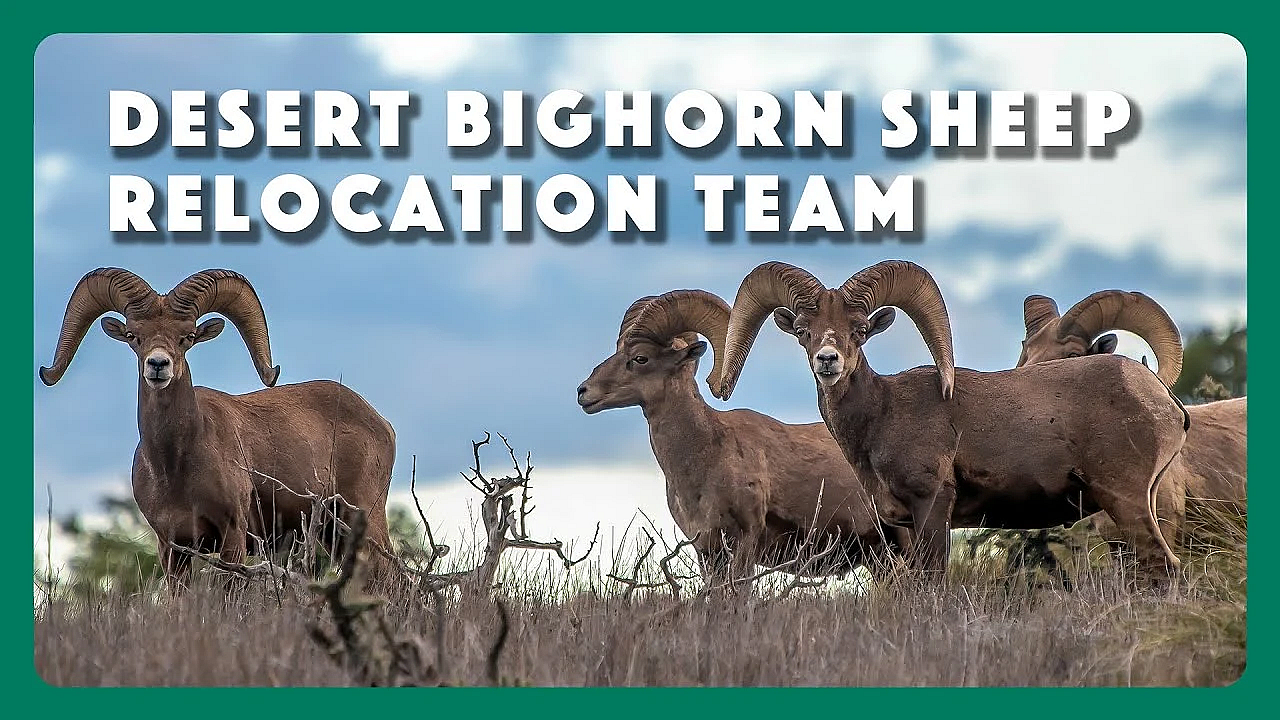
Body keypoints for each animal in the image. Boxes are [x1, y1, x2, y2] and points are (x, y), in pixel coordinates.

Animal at [39, 267, 397, 587]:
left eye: (187, 337)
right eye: (133, 336)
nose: (158, 365)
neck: (175, 468)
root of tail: (382, 424)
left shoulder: (232, 538)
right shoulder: (172, 547)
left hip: (363, 519)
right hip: (333, 534)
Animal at [576, 290, 907, 585]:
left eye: (640, 358)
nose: (583, 392)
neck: (705, 455)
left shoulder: (745, 544)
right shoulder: (708, 551)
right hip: (879, 556)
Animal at [712, 260, 1189, 575]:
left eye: (860, 331)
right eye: (803, 332)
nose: (828, 360)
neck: (881, 415)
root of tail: (1162, 400)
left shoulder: (931, 509)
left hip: (1126, 500)